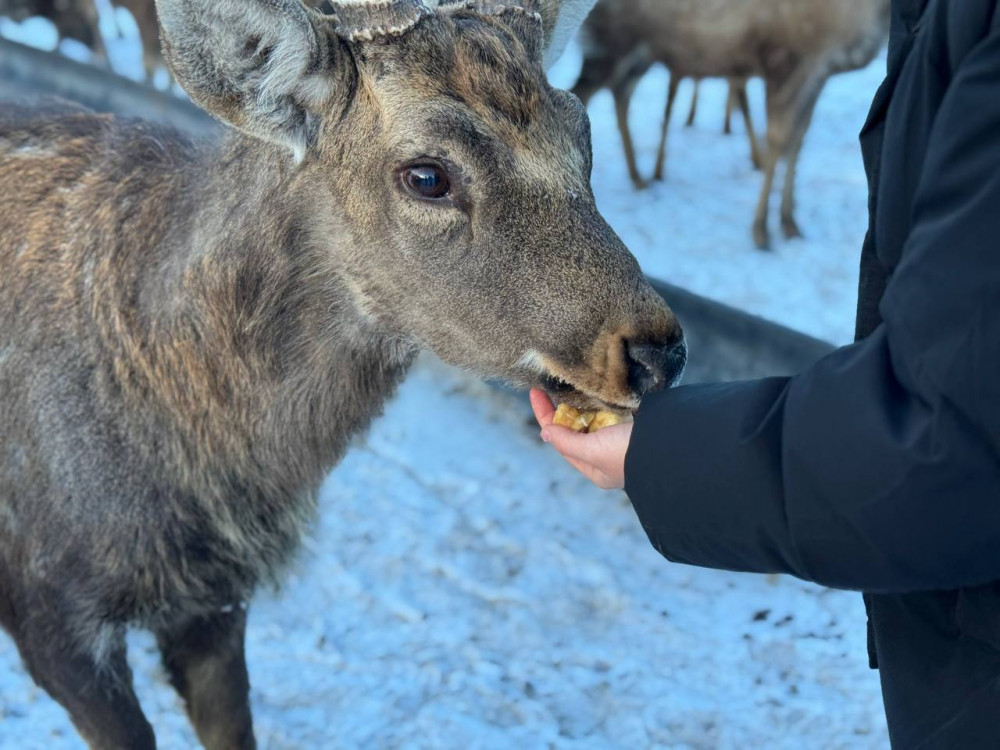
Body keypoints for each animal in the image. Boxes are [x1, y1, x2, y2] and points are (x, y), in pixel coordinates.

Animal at [572, 0, 892, 253]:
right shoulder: (785, 58)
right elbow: (777, 140)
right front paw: (761, 231)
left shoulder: (819, 71)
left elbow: (798, 141)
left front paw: (790, 222)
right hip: (607, 43)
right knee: (582, 92)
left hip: (639, 52)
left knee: (620, 94)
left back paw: (638, 176)